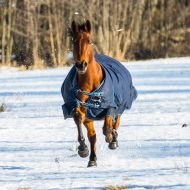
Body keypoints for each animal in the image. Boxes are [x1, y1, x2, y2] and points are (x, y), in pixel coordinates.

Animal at [60, 20, 137, 167]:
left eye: (89, 41)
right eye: (74, 40)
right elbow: (81, 121)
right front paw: (83, 149)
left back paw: (113, 140)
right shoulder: (82, 110)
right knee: (93, 136)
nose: (81, 65)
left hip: (121, 106)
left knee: (116, 121)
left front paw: (111, 138)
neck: (90, 85)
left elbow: (107, 127)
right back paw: (93, 159)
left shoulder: (111, 106)